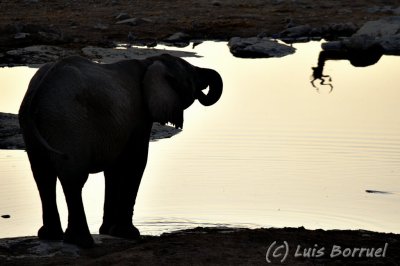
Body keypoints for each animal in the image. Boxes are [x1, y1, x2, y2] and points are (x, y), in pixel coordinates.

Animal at [18, 54, 222, 247]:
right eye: (191, 75)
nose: (204, 87)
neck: (149, 62)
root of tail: (39, 91)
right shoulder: (139, 117)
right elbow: (136, 162)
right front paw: (129, 234)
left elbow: (113, 170)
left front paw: (108, 231)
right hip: (68, 122)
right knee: (73, 178)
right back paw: (81, 241)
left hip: (31, 126)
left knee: (43, 175)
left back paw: (51, 235)